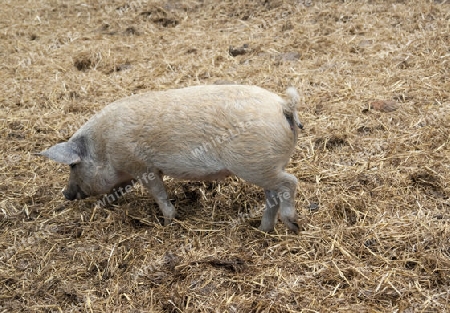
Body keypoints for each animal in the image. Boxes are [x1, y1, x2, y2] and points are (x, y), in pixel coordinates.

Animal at [40, 84, 304, 232]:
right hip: (263, 165)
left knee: (290, 182)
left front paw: (167, 222)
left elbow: (158, 193)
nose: (66, 193)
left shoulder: (143, 167)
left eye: (73, 166)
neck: (104, 147)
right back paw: (263, 230)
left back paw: (293, 225)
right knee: (273, 195)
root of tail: (284, 105)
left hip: (254, 165)